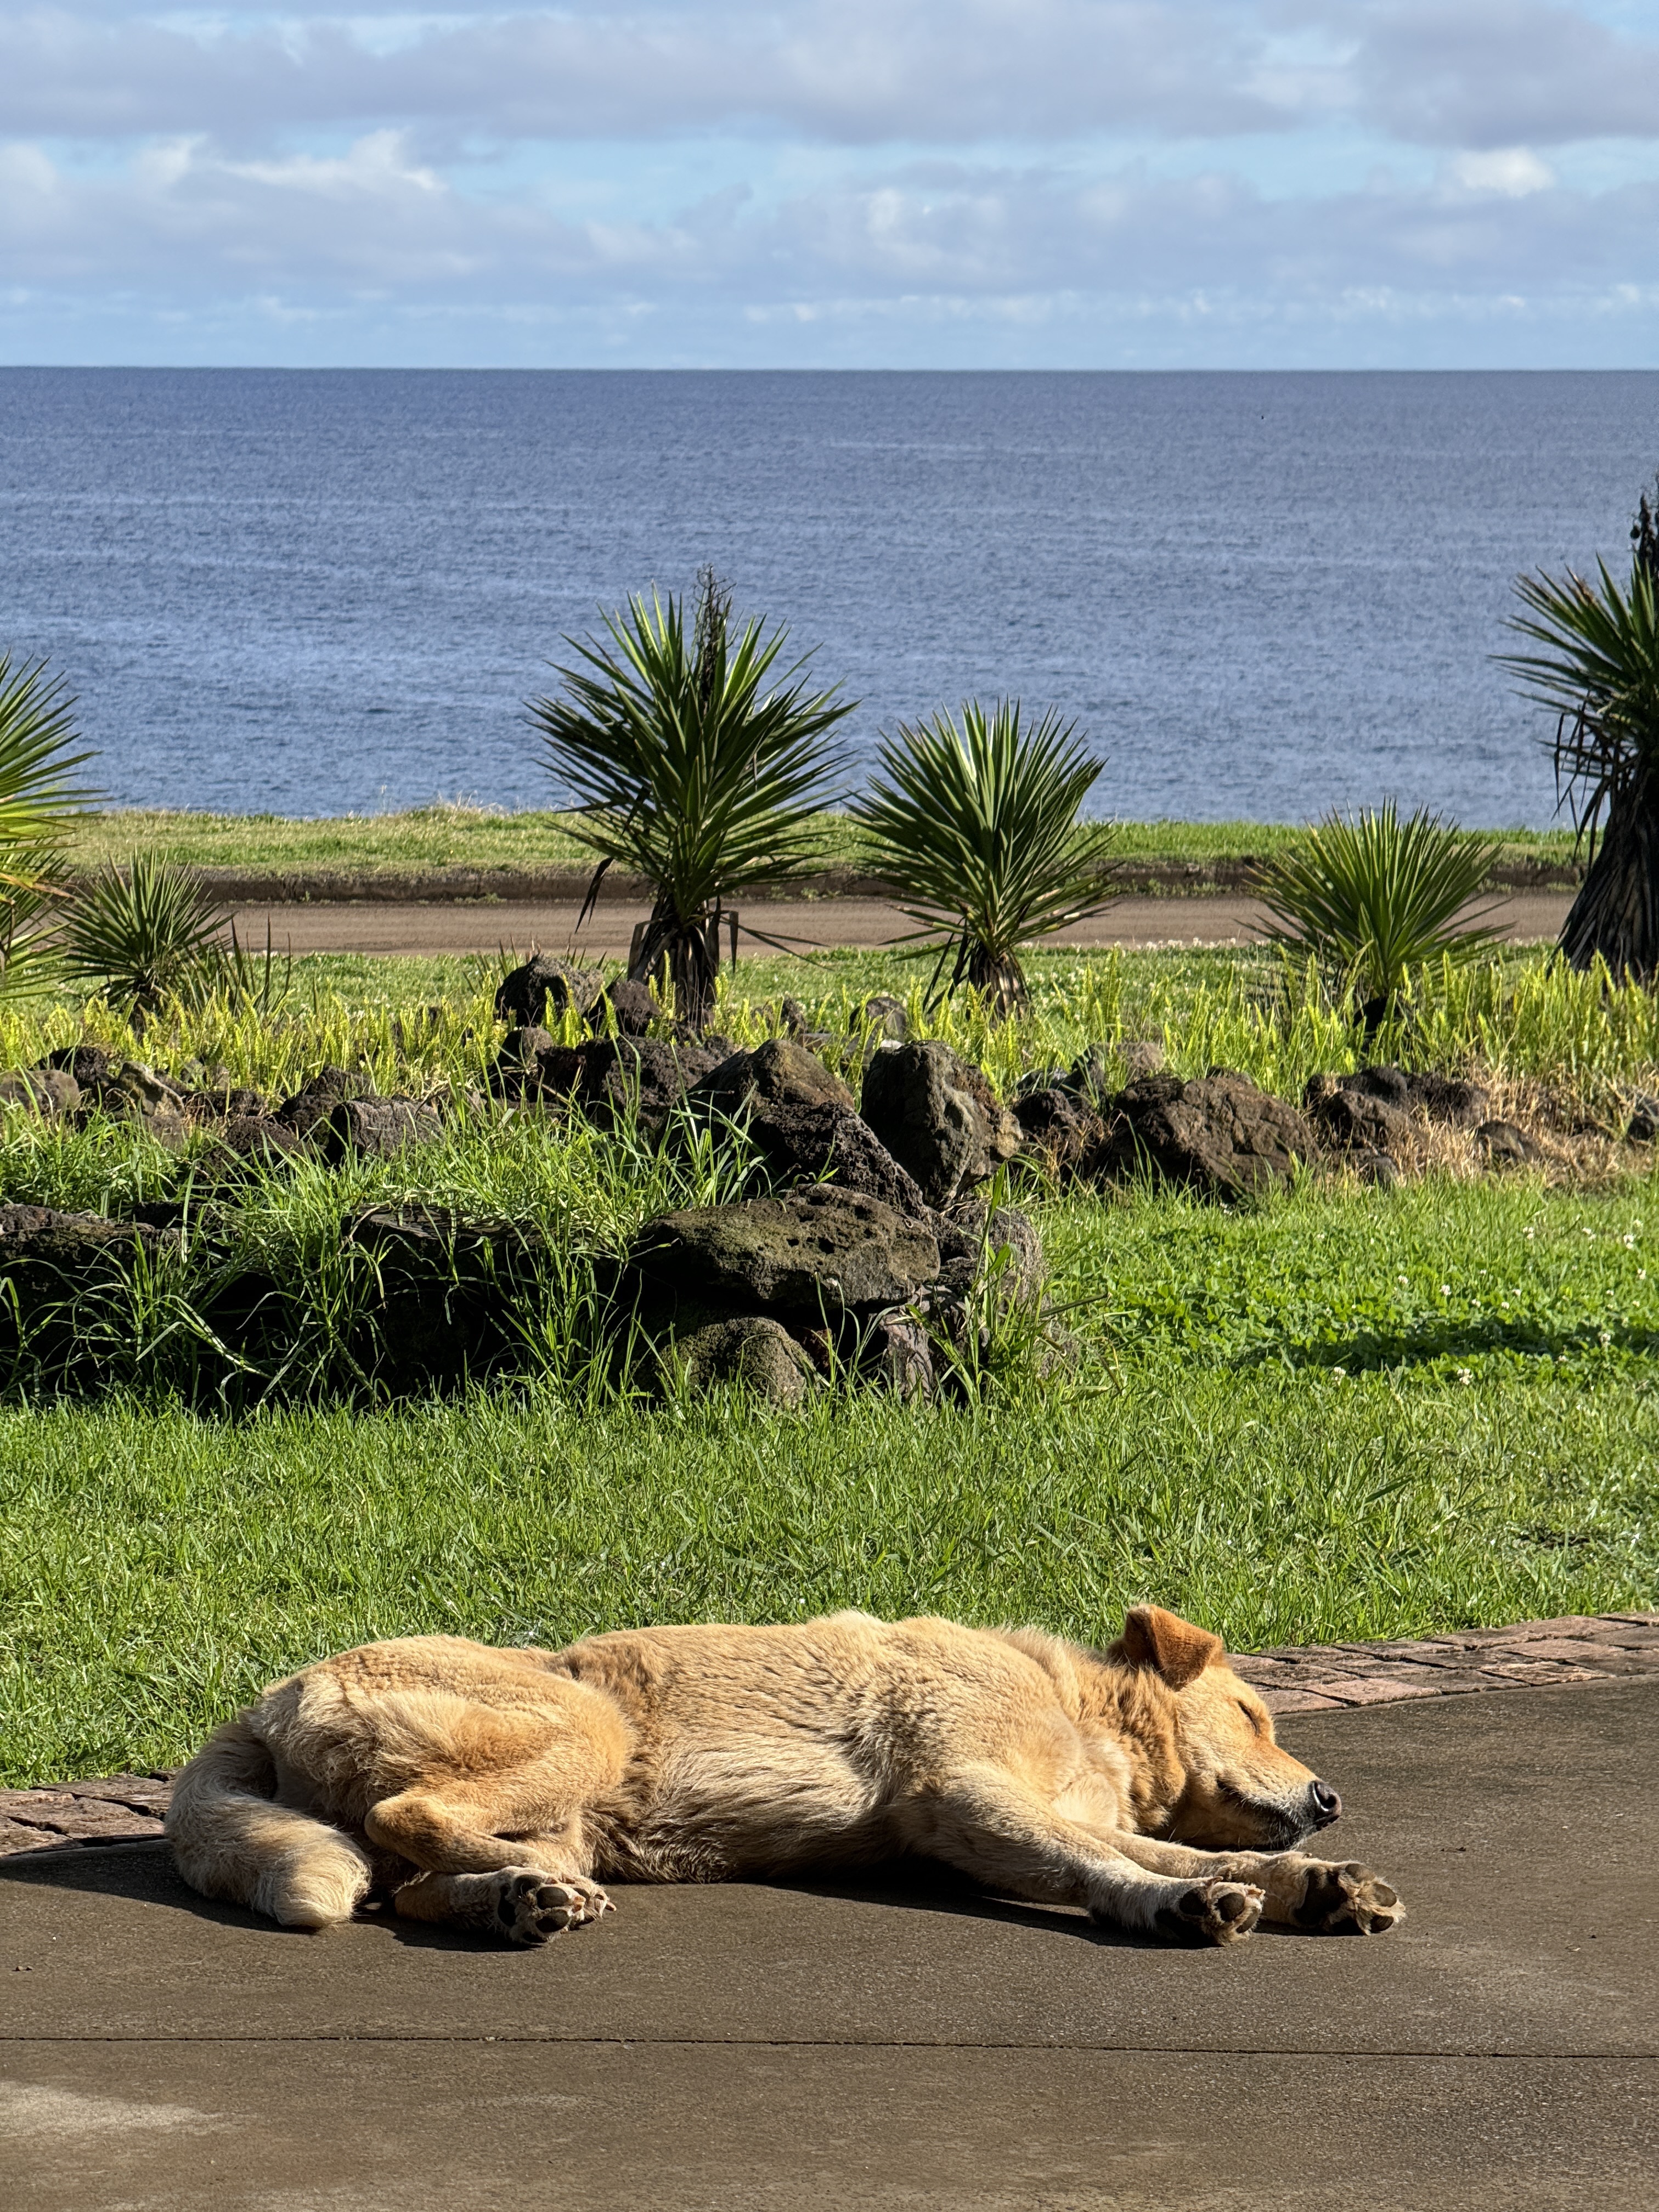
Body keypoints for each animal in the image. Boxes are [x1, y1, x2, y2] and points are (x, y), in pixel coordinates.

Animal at [169, 1610, 1407, 1955]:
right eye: (1254, 1715)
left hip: (559, 1806)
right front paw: (1176, 1906)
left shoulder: (1021, 1816)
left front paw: (1312, 1886)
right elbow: (1111, 1867)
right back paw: (525, 1888)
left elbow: (1190, 1845)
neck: (1078, 1712)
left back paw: (519, 1899)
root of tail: (273, 1691)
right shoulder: (965, 1797)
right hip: (589, 1724)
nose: (1332, 1799)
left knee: (412, 1882)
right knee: (410, 1817)